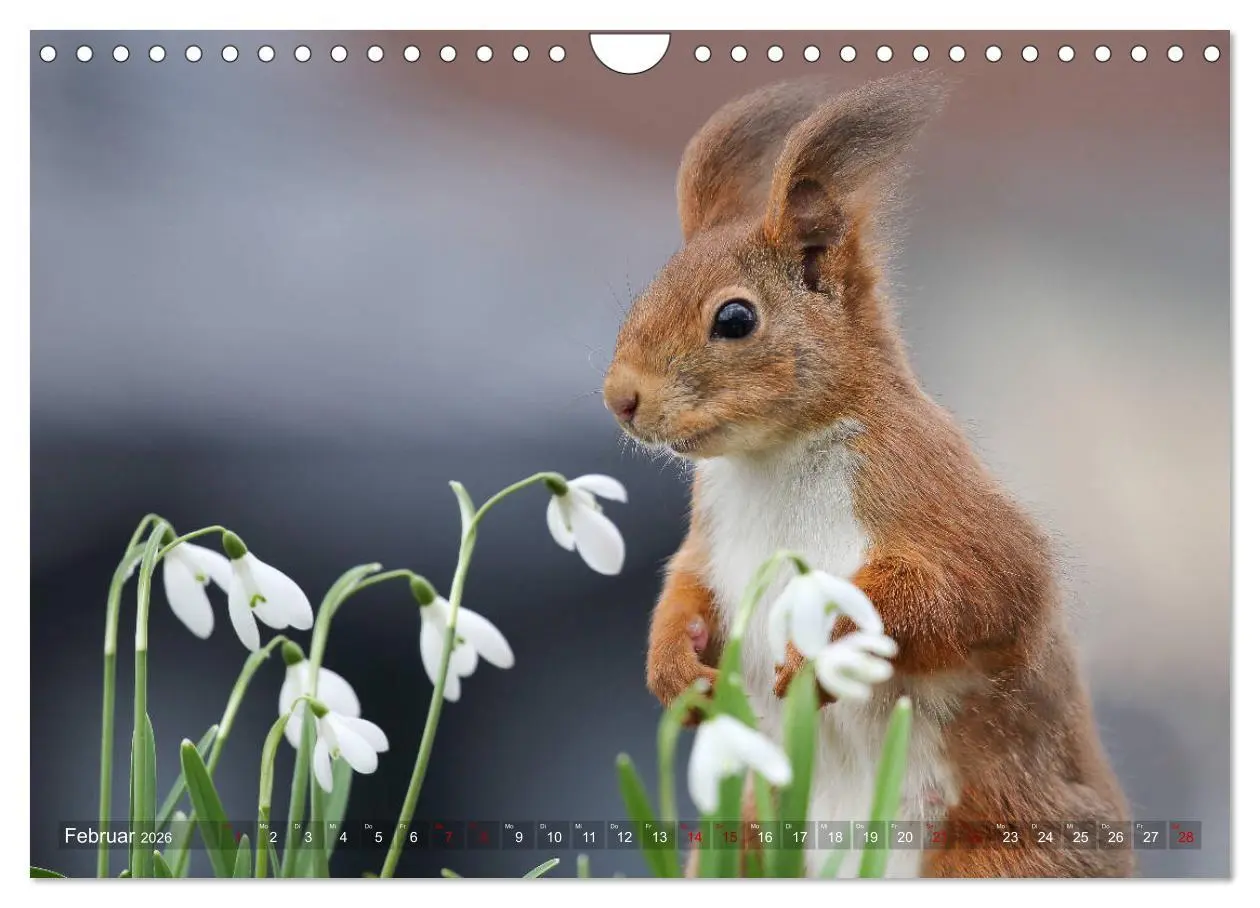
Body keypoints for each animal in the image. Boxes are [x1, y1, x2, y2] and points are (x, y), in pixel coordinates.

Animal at [601, 73, 1133, 878]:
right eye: (646, 293)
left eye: (735, 319)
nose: (620, 398)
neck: (775, 458)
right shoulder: (711, 536)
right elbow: (685, 587)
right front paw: (674, 671)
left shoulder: (929, 490)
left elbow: (973, 591)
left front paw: (824, 650)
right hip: (747, 841)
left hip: (998, 853)